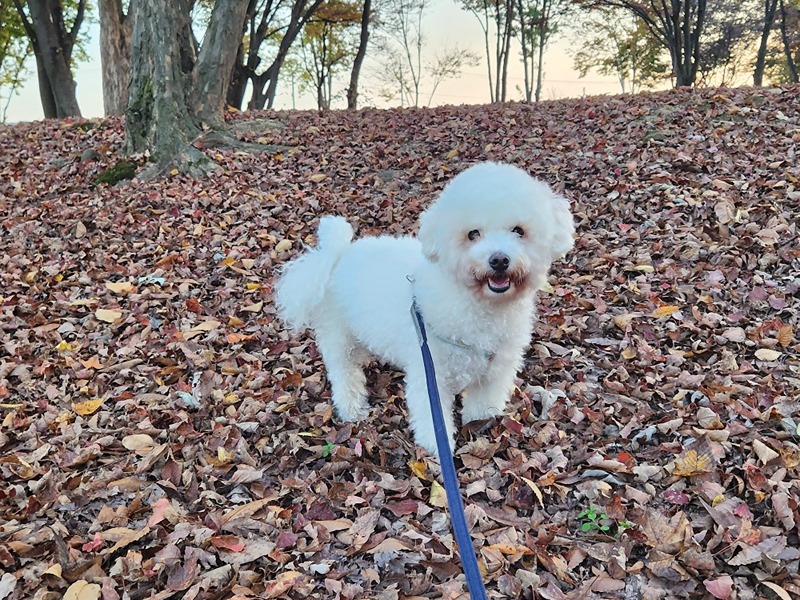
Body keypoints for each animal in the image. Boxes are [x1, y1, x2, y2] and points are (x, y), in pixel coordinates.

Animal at [276, 163, 576, 454]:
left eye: (518, 231)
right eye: (473, 234)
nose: (499, 260)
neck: (480, 306)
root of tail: (338, 255)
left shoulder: (496, 368)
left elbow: (483, 400)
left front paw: (479, 421)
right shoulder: (430, 372)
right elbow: (433, 417)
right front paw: (437, 446)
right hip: (338, 333)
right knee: (344, 371)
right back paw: (352, 407)